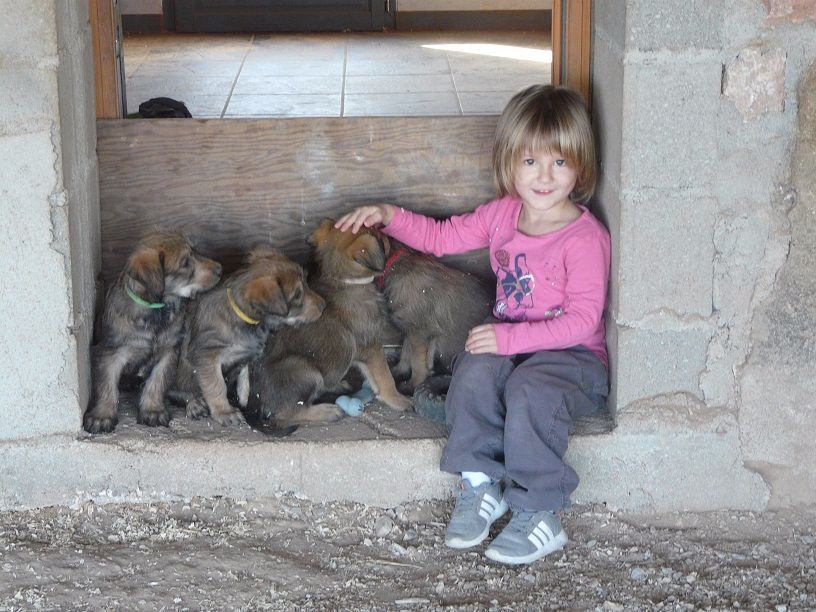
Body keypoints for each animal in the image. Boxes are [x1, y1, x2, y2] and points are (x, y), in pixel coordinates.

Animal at [82, 231, 220, 436]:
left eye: (196, 251)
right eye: (185, 263)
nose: (220, 268)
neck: (156, 310)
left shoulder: (169, 351)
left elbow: (157, 382)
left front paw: (152, 410)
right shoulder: (110, 353)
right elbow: (106, 386)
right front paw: (102, 416)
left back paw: (194, 403)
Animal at [173, 247, 326, 426]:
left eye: (306, 283)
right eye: (297, 295)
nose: (323, 305)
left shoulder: (248, 354)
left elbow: (245, 377)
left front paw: (244, 398)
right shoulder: (207, 356)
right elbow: (216, 385)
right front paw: (225, 412)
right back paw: (194, 404)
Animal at [247, 219, 414, 426]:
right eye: (380, 238)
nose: (389, 235)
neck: (343, 280)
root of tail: (257, 400)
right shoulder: (372, 346)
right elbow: (385, 378)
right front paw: (399, 400)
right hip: (307, 371)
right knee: (287, 412)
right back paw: (325, 411)